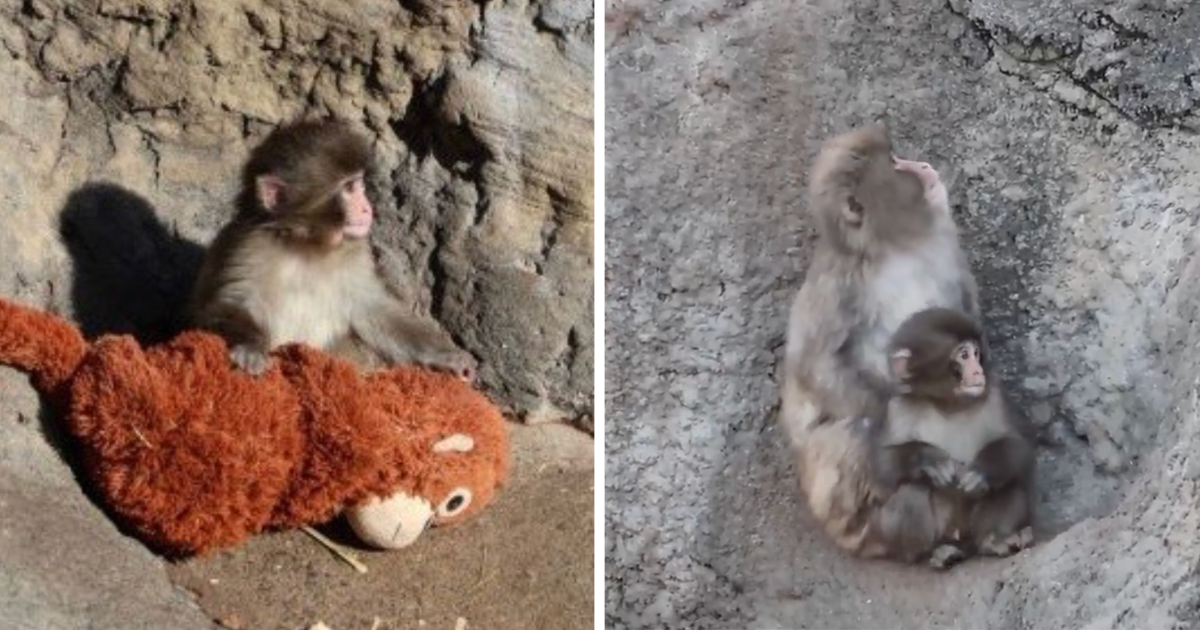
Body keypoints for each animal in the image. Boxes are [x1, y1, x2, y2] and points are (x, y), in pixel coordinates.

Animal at [187, 119, 476, 381]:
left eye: (359, 185)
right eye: (349, 188)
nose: (367, 208)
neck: (306, 245)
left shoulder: (356, 255)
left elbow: (374, 310)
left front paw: (449, 357)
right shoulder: (249, 247)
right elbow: (225, 304)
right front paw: (251, 347)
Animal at [776, 124, 982, 556]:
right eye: (894, 162)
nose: (921, 164)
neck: (897, 248)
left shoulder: (946, 245)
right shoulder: (839, 278)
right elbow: (813, 363)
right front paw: (915, 453)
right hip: (823, 490)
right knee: (854, 430)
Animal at [864, 307, 1036, 569]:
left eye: (976, 353)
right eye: (963, 355)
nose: (978, 371)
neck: (948, 403)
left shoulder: (994, 392)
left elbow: (1019, 444)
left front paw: (981, 471)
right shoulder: (897, 405)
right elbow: (880, 467)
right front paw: (931, 461)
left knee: (1010, 481)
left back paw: (993, 540)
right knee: (912, 491)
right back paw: (932, 554)